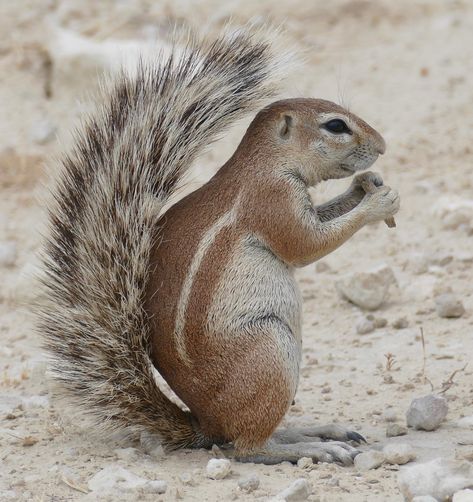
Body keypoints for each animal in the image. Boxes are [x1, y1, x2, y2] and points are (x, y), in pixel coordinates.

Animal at [37, 25, 398, 464]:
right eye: (335, 126)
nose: (382, 146)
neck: (266, 163)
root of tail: (203, 422)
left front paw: (365, 186)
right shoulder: (272, 200)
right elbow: (304, 245)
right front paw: (378, 202)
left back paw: (316, 430)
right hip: (270, 351)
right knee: (246, 447)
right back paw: (311, 447)